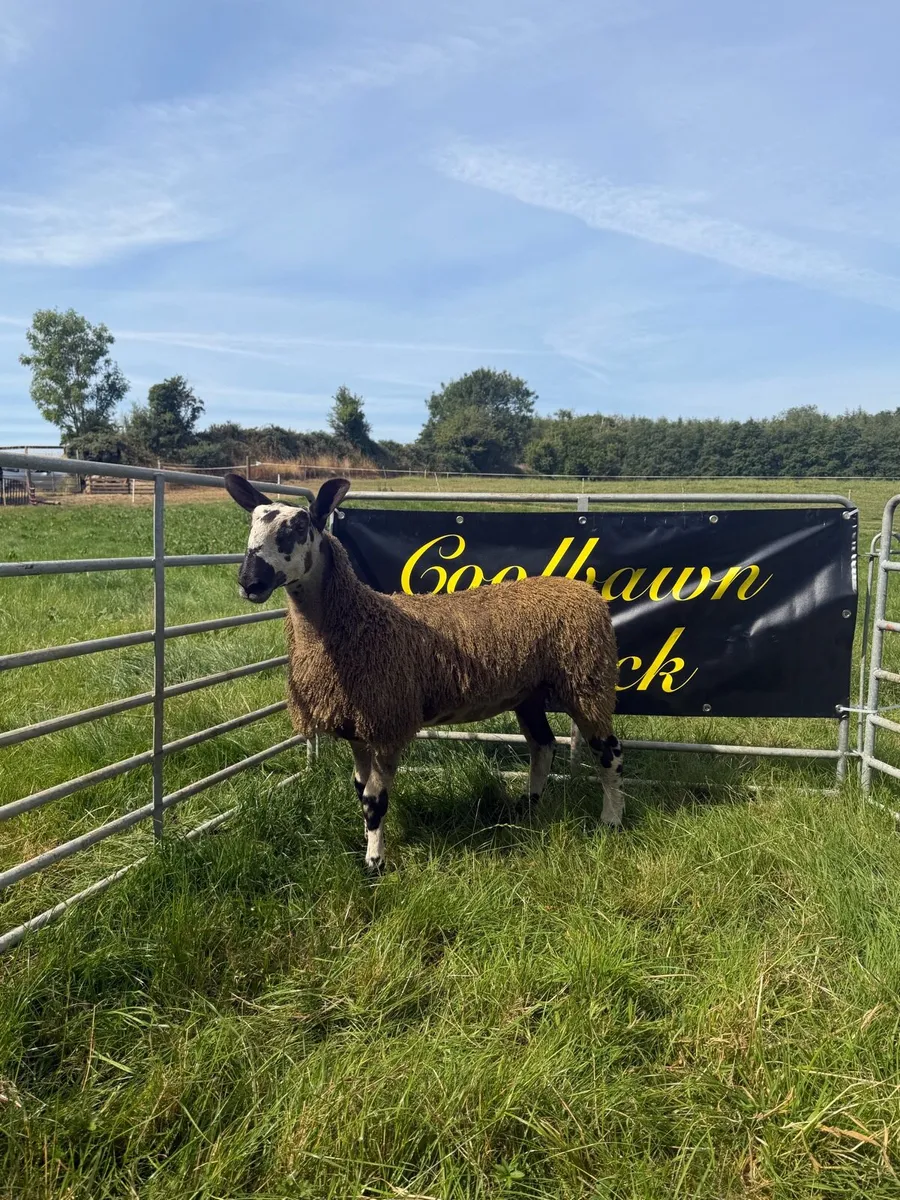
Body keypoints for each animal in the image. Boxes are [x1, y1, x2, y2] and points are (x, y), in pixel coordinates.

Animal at [224, 473, 623, 869]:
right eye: (252, 524)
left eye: (298, 526)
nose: (249, 582)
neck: (357, 621)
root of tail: (585, 591)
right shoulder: (357, 727)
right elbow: (359, 789)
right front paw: (366, 843)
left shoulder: (389, 721)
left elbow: (375, 799)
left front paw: (375, 863)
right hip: (529, 692)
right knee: (543, 747)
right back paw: (527, 808)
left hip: (587, 681)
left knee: (609, 752)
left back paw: (611, 820)